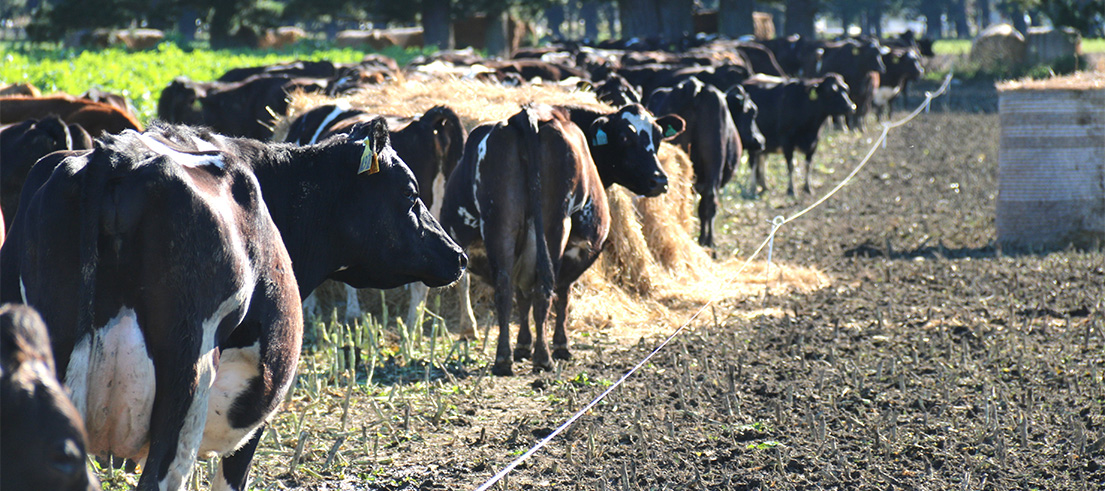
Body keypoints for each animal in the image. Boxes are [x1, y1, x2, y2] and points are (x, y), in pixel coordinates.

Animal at [440, 104, 682, 374]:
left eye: (658, 137)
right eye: (624, 137)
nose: (659, 180)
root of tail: (526, 115)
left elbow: (523, 295)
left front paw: (523, 346)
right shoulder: (577, 249)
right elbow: (562, 294)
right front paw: (560, 346)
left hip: (500, 224)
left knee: (504, 288)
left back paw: (503, 359)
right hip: (555, 226)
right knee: (545, 287)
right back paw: (544, 358)